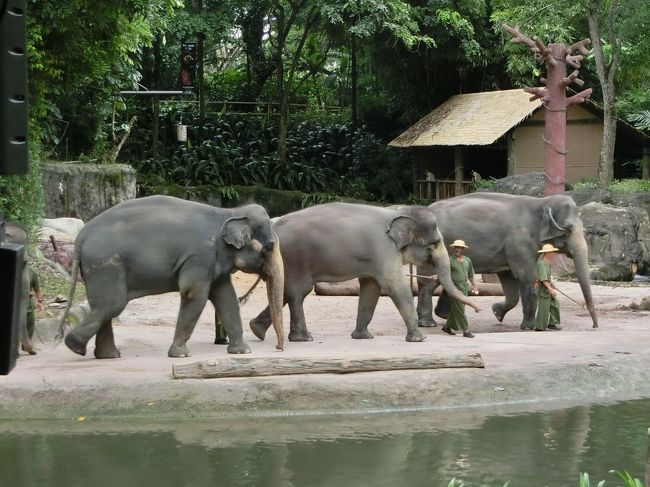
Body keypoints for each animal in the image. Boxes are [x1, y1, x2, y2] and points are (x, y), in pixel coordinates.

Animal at [58, 194, 284, 358]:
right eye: (269, 246)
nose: (279, 349)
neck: (229, 213)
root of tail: (81, 235)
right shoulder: (200, 257)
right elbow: (194, 294)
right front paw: (181, 355)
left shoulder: (214, 262)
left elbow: (226, 296)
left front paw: (242, 351)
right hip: (105, 265)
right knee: (112, 304)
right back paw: (75, 346)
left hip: (96, 269)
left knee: (103, 306)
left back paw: (108, 355)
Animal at [240, 202, 478, 344]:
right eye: (435, 243)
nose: (477, 308)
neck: (398, 211)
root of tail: (275, 226)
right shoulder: (384, 250)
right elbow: (396, 286)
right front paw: (419, 339)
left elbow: (371, 289)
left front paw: (363, 337)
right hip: (296, 257)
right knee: (298, 292)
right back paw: (303, 339)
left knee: (287, 292)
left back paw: (257, 330)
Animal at [416, 193, 596, 330]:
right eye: (568, 230)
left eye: (584, 230)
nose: (595, 326)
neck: (541, 202)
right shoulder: (518, 242)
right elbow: (527, 276)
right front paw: (529, 328)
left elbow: (510, 282)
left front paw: (497, 313)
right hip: (433, 247)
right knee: (429, 282)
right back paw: (428, 323)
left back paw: (443, 315)